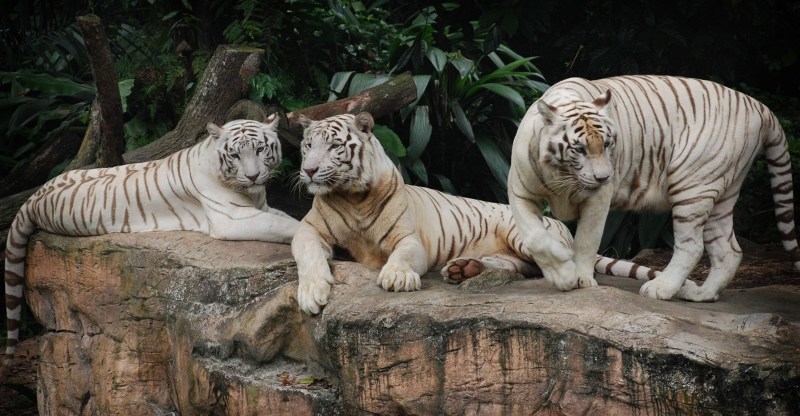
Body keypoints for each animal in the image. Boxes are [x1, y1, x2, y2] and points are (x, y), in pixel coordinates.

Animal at [3, 114, 300, 374]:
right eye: (236, 155)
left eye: (260, 149)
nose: (253, 177)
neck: (254, 195)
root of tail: (35, 194)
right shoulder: (231, 217)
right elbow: (284, 225)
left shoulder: (264, 207)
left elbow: (288, 218)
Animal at [291, 112, 658, 315]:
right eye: (308, 145)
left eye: (334, 146)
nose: (308, 170)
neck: (352, 195)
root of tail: (562, 226)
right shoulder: (308, 229)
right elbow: (308, 255)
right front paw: (311, 293)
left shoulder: (409, 239)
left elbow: (403, 255)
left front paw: (396, 277)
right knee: (519, 267)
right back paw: (463, 269)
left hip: (521, 232)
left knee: (545, 261)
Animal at [508, 75, 799, 302]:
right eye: (579, 149)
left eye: (608, 143)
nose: (604, 177)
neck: (562, 174)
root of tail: (760, 106)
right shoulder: (520, 192)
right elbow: (535, 238)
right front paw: (561, 274)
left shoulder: (598, 198)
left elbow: (587, 240)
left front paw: (578, 277)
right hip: (722, 192)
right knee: (729, 251)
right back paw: (701, 294)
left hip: (694, 185)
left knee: (692, 246)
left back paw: (662, 288)